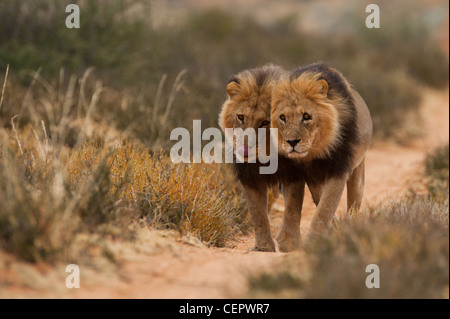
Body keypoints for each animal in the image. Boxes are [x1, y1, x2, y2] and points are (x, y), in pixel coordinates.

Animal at [270, 62, 372, 248]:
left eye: (306, 116)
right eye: (282, 117)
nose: (292, 142)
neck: (314, 152)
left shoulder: (339, 170)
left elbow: (325, 208)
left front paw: (315, 239)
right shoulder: (299, 172)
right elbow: (297, 204)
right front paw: (289, 241)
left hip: (358, 169)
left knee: (353, 201)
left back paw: (350, 226)